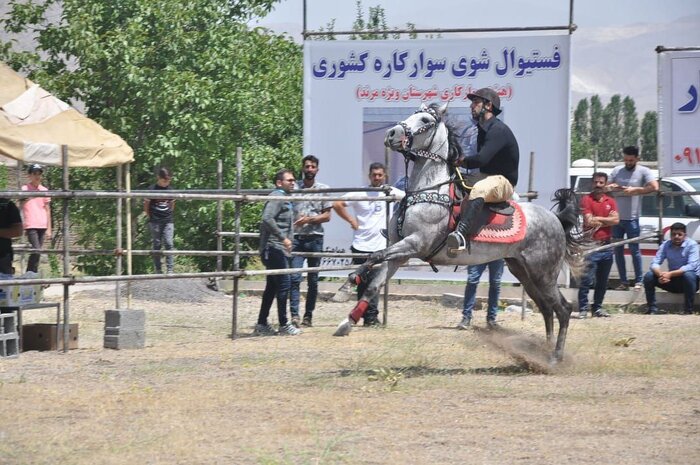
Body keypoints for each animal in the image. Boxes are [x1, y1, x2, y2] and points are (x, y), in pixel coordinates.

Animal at [334, 101, 584, 362]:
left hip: (543, 273)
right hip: (524, 271)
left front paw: (346, 286)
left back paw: (555, 357)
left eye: (425, 120)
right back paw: (543, 352)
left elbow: (374, 256)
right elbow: (374, 284)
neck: (428, 191)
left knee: (563, 309)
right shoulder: (399, 254)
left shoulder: (414, 243)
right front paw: (346, 322)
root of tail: (555, 220)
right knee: (547, 308)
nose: (391, 134)